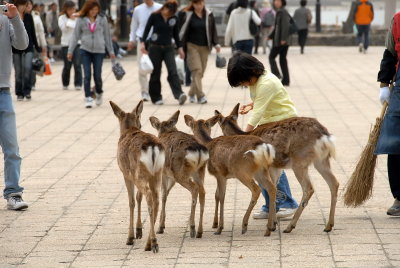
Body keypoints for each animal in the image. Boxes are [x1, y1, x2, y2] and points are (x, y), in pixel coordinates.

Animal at [109, 100, 164, 253]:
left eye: (139, 116)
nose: (140, 125)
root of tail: (152, 147)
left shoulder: (126, 174)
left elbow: (131, 201)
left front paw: (130, 237)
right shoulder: (135, 175)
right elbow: (138, 197)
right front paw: (139, 231)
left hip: (140, 173)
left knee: (149, 197)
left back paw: (154, 243)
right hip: (156, 172)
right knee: (157, 199)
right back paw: (149, 243)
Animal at [148, 111, 209, 239]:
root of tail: (198, 150)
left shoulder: (164, 172)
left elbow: (164, 195)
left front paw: (160, 227)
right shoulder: (170, 176)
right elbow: (166, 193)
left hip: (180, 172)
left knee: (194, 189)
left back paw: (192, 228)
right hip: (200, 171)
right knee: (203, 192)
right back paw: (199, 231)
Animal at [214, 103, 340, 233]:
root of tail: (324, 135)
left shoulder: (267, 167)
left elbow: (271, 189)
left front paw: (271, 224)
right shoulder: (276, 167)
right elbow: (274, 188)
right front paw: (273, 223)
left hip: (299, 161)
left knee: (308, 188)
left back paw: (290, 226)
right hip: (321, 160)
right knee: (334, 183)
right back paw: (329, 225)